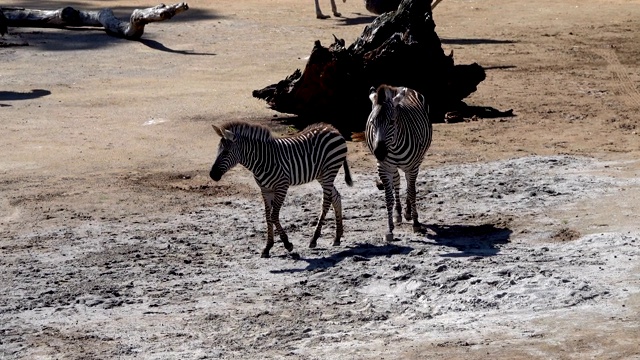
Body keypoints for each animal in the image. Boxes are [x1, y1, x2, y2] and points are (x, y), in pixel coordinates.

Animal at [210, 121, 352, 258]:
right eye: (217, 151)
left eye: (226, 152)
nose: (212, 175)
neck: (261, 160)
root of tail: (332, 129)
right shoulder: (265, 190)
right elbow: (268, 217)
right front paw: (267, 247)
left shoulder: (282, 187)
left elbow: (273, 216)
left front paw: (287, 244)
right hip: (321, 175)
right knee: (336, 197)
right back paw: (337, 237)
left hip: (329, 171)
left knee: (326, 202)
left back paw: (314, 239)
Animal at [362, 84, 432, 242]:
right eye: (372, 123)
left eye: (392, 122)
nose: (379, 153)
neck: (393, 147)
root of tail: (401, 87)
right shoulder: (384, 168)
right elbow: (389, 198)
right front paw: (389, 229)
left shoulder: (412, 167)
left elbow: (412, 192)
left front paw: (416, 223)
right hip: (393, 167)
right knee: (397, 181)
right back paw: (399, 213)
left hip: (418, 161)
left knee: (410, 183)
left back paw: (408, 212)